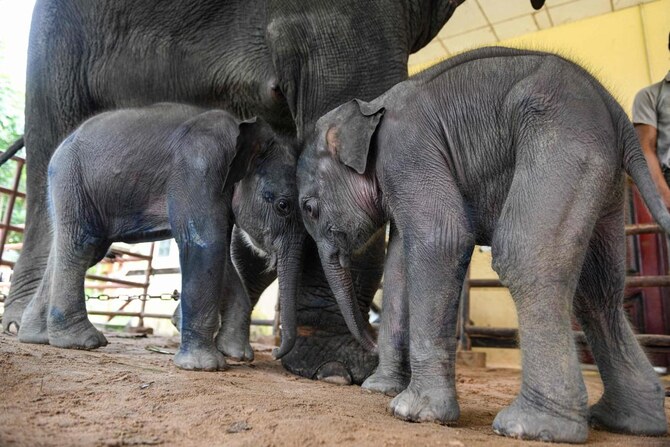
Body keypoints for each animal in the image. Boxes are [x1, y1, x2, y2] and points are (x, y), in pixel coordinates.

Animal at [19, 104, 304, 372]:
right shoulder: (199, 168)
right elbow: (206, 244)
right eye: (283, 206)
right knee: (83, 243)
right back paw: (83, 341)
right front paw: (204, 366)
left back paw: (37, 336)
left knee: (76, 248)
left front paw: (237, 354)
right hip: (71, 178)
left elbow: (222, 255)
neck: (242, 132)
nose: (275, 352)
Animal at [298, 46, 670, 444]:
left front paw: (411, 412)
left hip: (563, 139)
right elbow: (398, 269)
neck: (369, 107)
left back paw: (529, 427)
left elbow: (441, 238)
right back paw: (628, 421)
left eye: (309, 208)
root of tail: (616, 112)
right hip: (604, 173)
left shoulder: (407, 152)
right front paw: (380, 390)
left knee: (525, 256)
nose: (366, 342)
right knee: (597, 290)